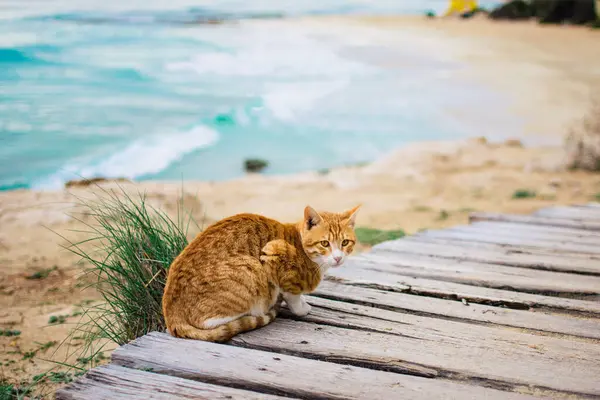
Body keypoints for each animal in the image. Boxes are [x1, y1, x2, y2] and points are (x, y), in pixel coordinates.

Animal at [162, 205, 358, 342]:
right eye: (325, 243)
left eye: (345, 242)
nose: (338, 258)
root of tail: (171, 315)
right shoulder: (273, 253)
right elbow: (292, 295)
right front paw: (301, 308)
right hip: (252, 269)